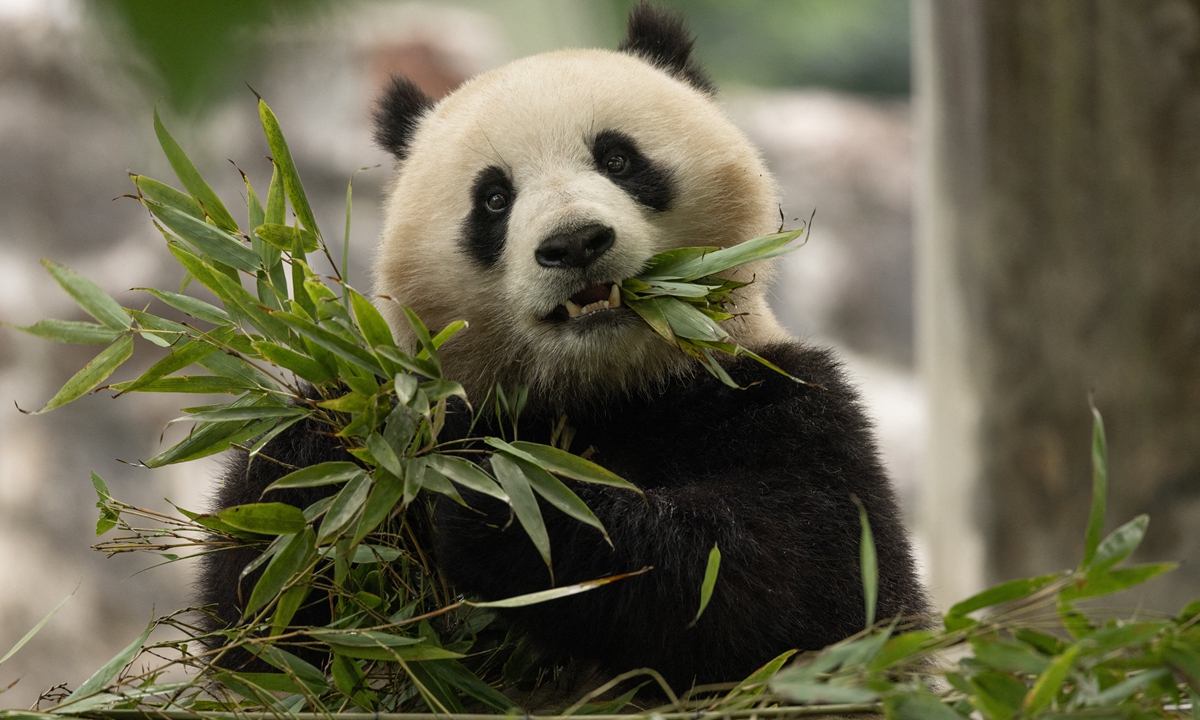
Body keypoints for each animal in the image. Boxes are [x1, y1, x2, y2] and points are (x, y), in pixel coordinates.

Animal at [199, 2, 929, 693]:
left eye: (618, 159)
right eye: (494, 198)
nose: (575, 243)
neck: (603, 388)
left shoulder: (780, 398)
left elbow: (802, 585)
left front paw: (503, 502)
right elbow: (266, 628)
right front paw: (331, 446)